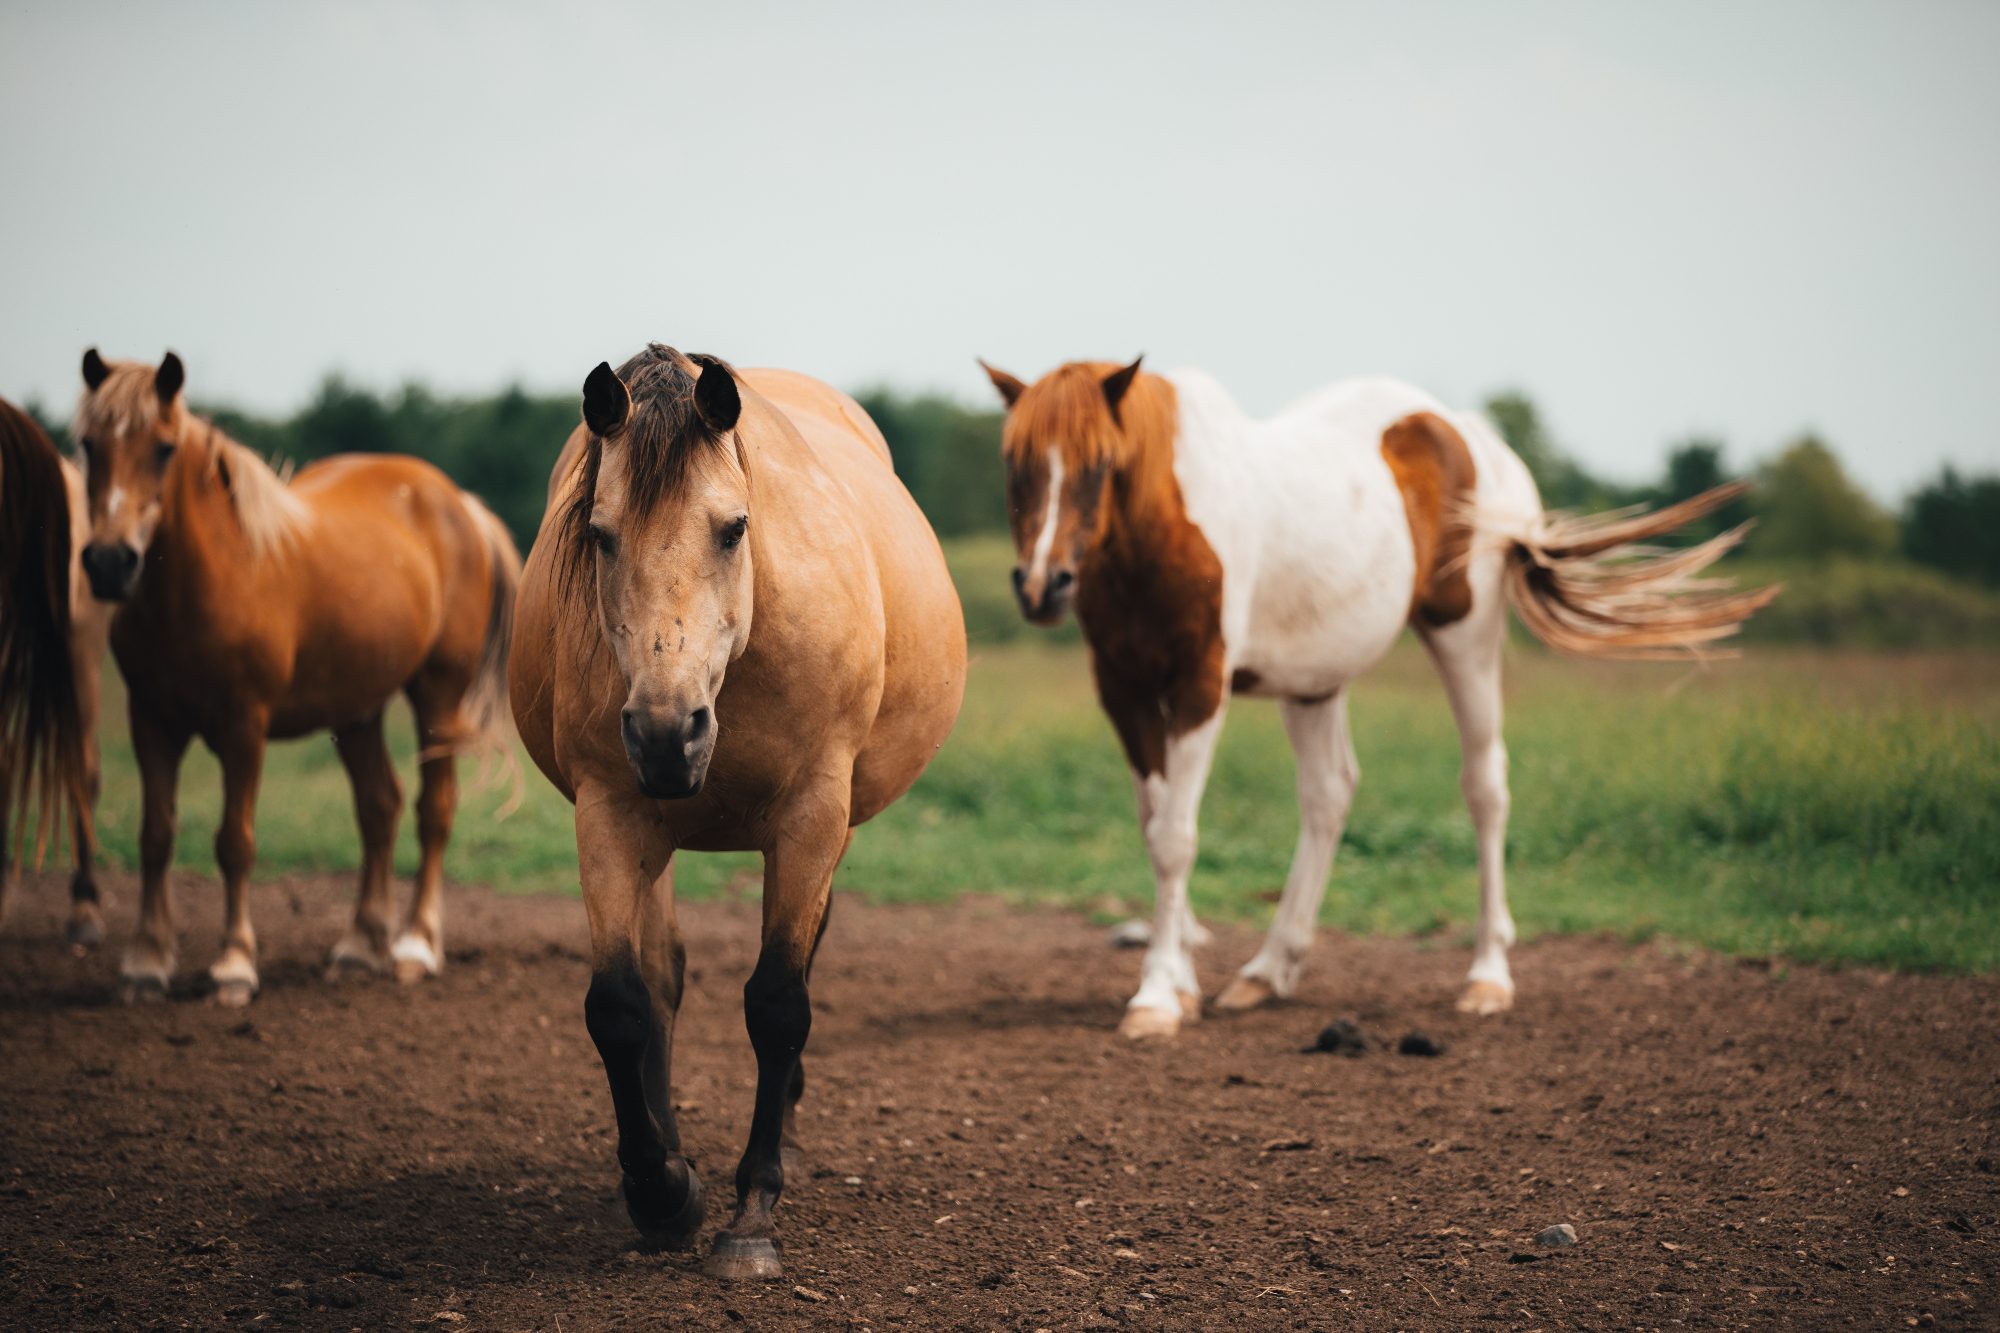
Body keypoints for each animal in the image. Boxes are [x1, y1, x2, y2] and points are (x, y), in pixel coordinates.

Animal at [76, 348, 524, 1000]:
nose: (110, 563)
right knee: (379, 807)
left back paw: (415, 945)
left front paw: (235, 964)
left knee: (433, 811)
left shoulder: (244, 727)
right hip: (357, 710)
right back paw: (361, 945)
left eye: (162, 447)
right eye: (88, 445)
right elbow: (155, 837)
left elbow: (235, 842)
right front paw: (146, 963)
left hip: (439, 696)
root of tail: (458, 502)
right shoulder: (150, 720)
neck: (204, 582)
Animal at [508, 344, 960, 1280]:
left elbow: (779, 1001)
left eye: (733, 527)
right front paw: (661, 1189)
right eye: (600, 533)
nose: (665, 732)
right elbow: (622, 1003)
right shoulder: (609, 811)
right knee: (662, 978)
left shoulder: (813, 815)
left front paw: (752, 1210)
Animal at [976, 356, 1776, 1040]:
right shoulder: (1124, 688)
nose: (1043, 585)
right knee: (1329, 795)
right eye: (1015, 467)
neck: (1165, 522)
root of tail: (1475, 435)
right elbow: (1154, 826)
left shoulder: (1201, 683)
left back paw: (1487, 976)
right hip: (1313, 680)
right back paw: (1268, 970)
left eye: (1100, 465)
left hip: (1464, 638)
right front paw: (1179, 983)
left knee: (1485, 787)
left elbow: (1176, 837)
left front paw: (1155, 1000)